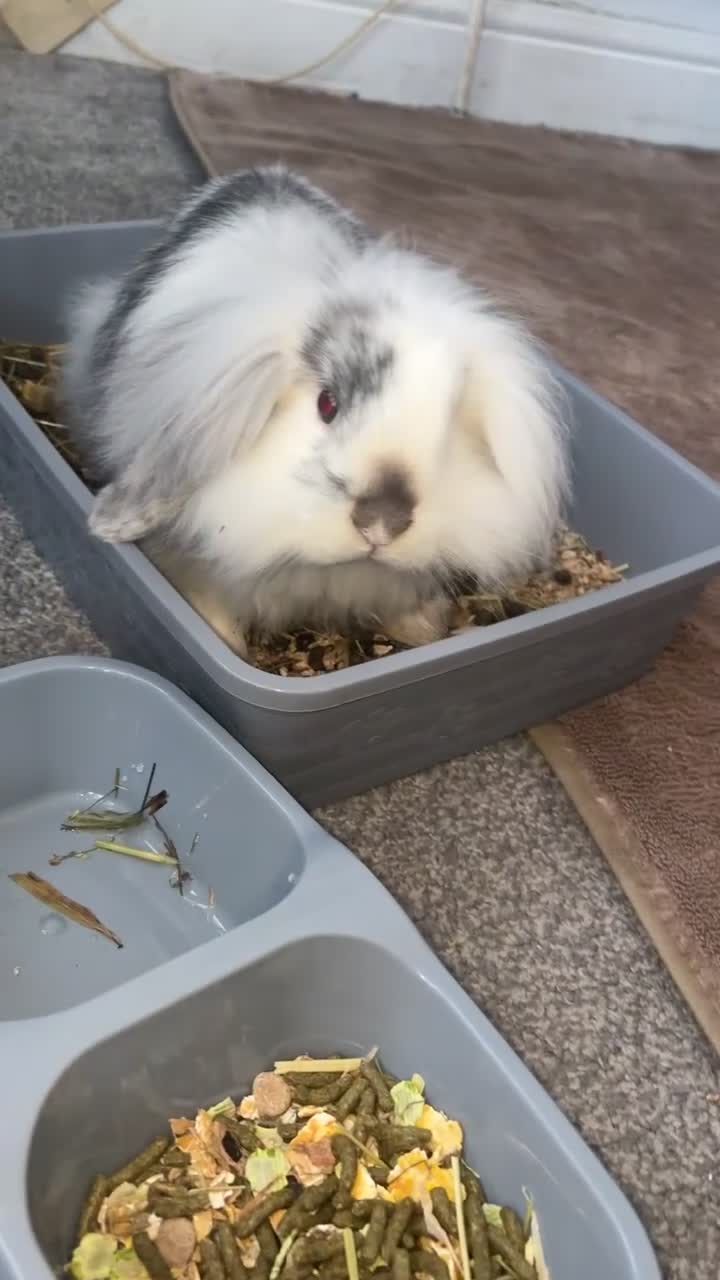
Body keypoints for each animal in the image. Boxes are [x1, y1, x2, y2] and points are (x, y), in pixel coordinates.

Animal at [61, 164, 569, 658]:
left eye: (449, 424)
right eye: (327, 404)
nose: (381, 524)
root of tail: (266, 171)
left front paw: (426, 631)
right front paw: (228, 644)